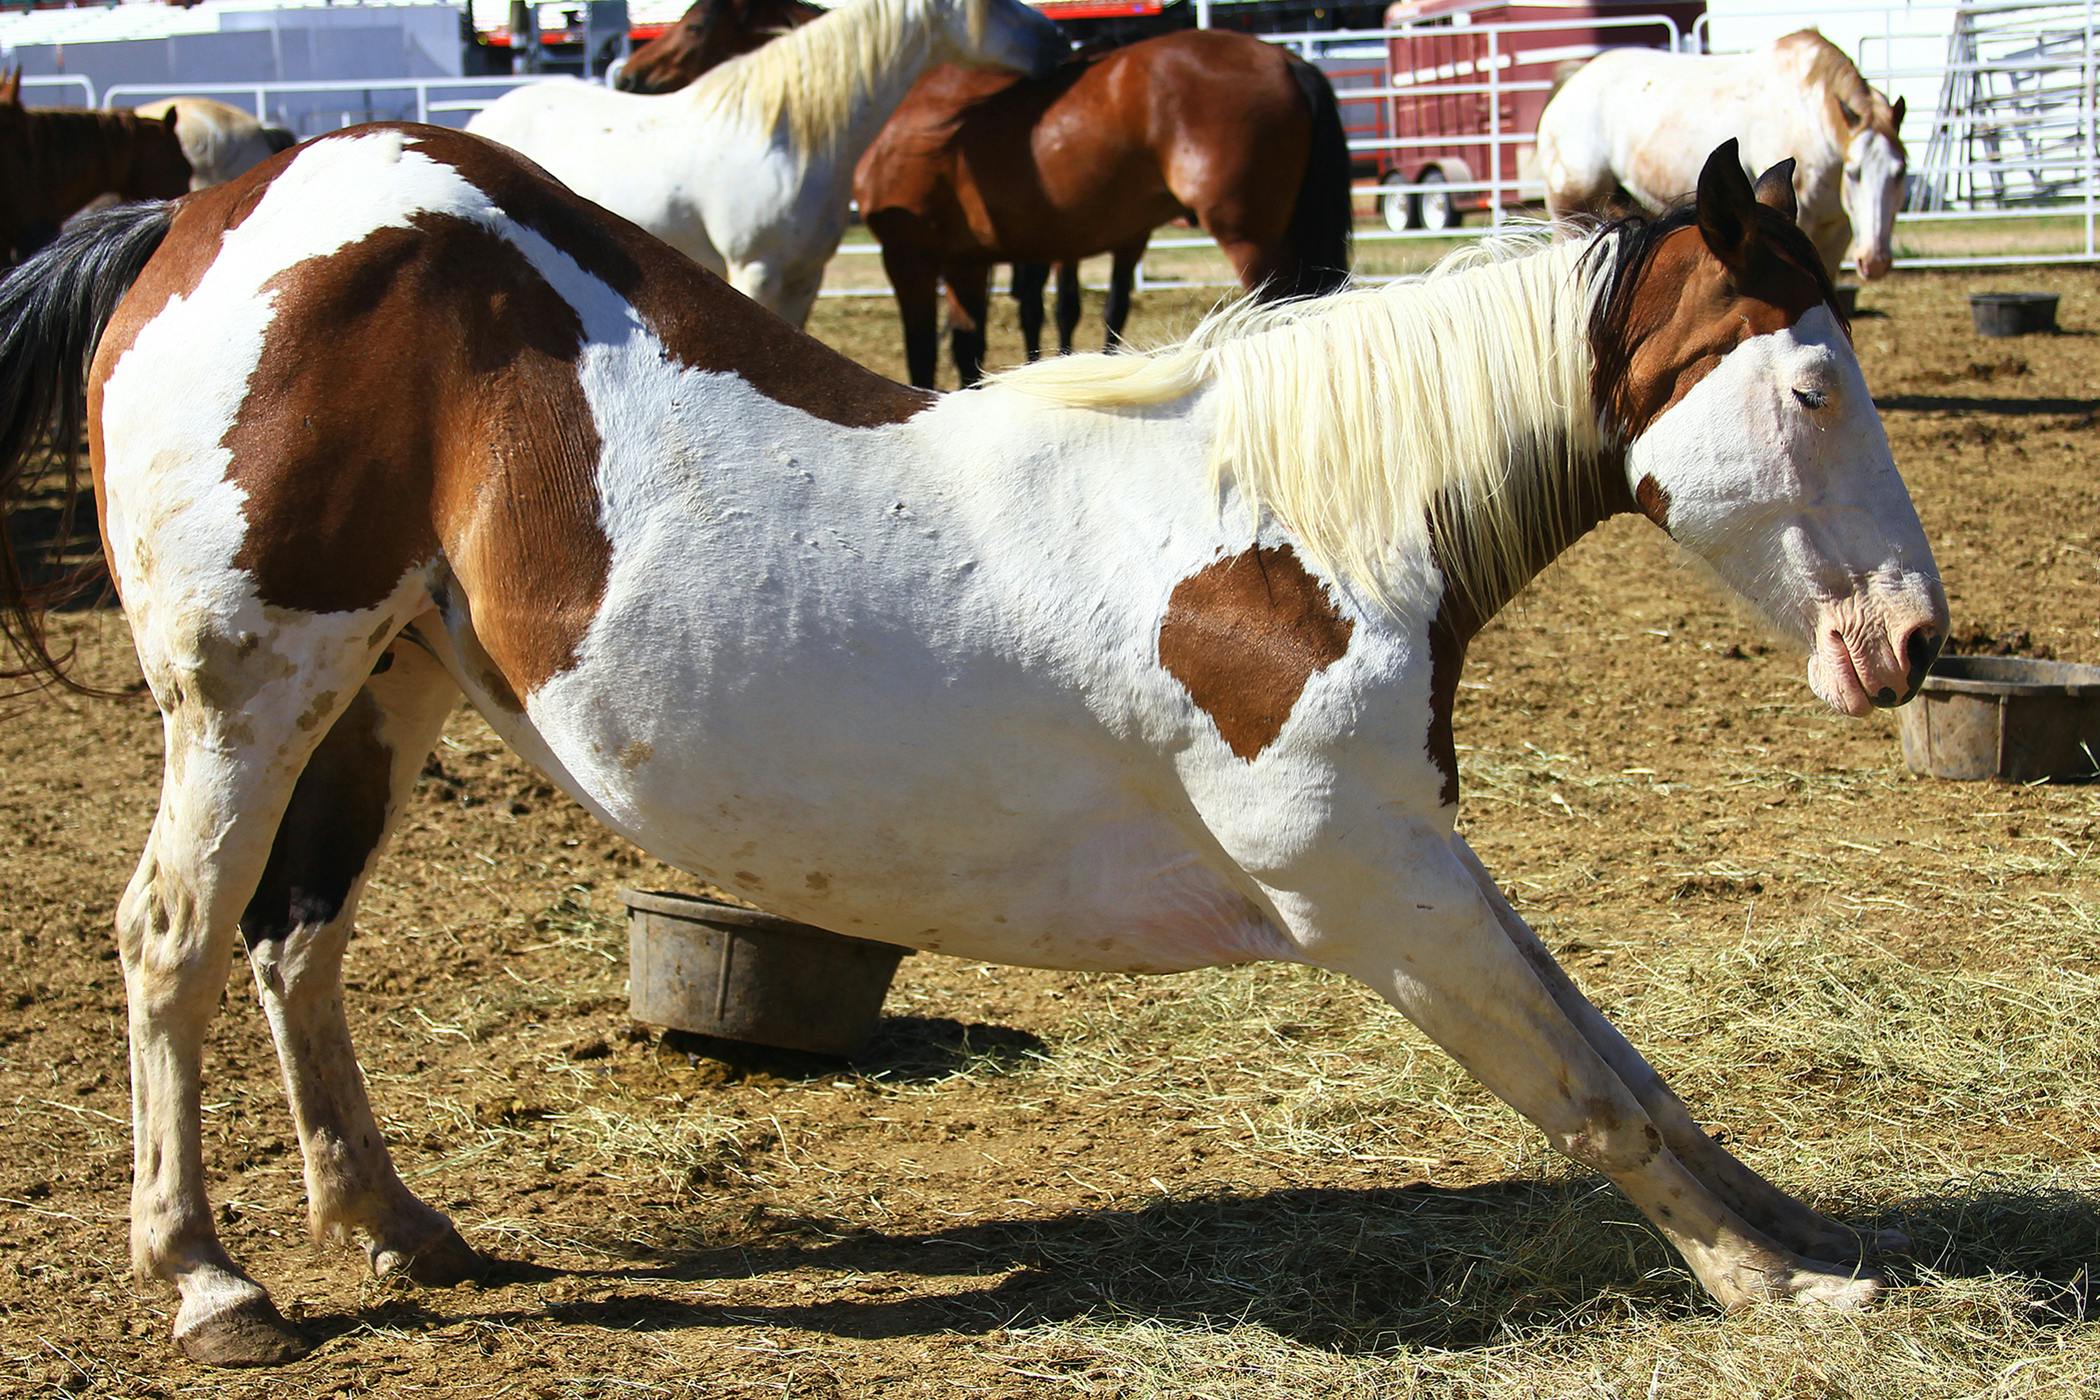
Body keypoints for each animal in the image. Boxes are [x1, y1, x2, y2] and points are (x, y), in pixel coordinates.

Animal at [0, 122, 1949, 1363]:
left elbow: (1623, 1056)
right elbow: (1585, 1087)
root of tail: (207, 214)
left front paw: (1813, 1239)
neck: (1298, 529)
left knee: (295, 942)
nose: (1915, 640)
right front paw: (1781, 1292)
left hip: (382, 686)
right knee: (175, 939)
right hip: (248, 691)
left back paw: (395, 1225)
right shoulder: (1364, 884)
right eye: (1810, 384)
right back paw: (209, 1285)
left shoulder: (1416, 857)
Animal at [853, 32, 1354, 389]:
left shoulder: (909, 256)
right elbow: (968, 347)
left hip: (1249, 239)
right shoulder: (968, 261)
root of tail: (1286, 60)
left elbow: (924, 354)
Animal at [1539, 29, 1906, 281]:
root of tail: (1570, 86)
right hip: (1571, 210)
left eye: (1900, 172)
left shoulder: (1839, 230)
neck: (1811, 116)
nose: (1875, 262)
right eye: (1855, 172)